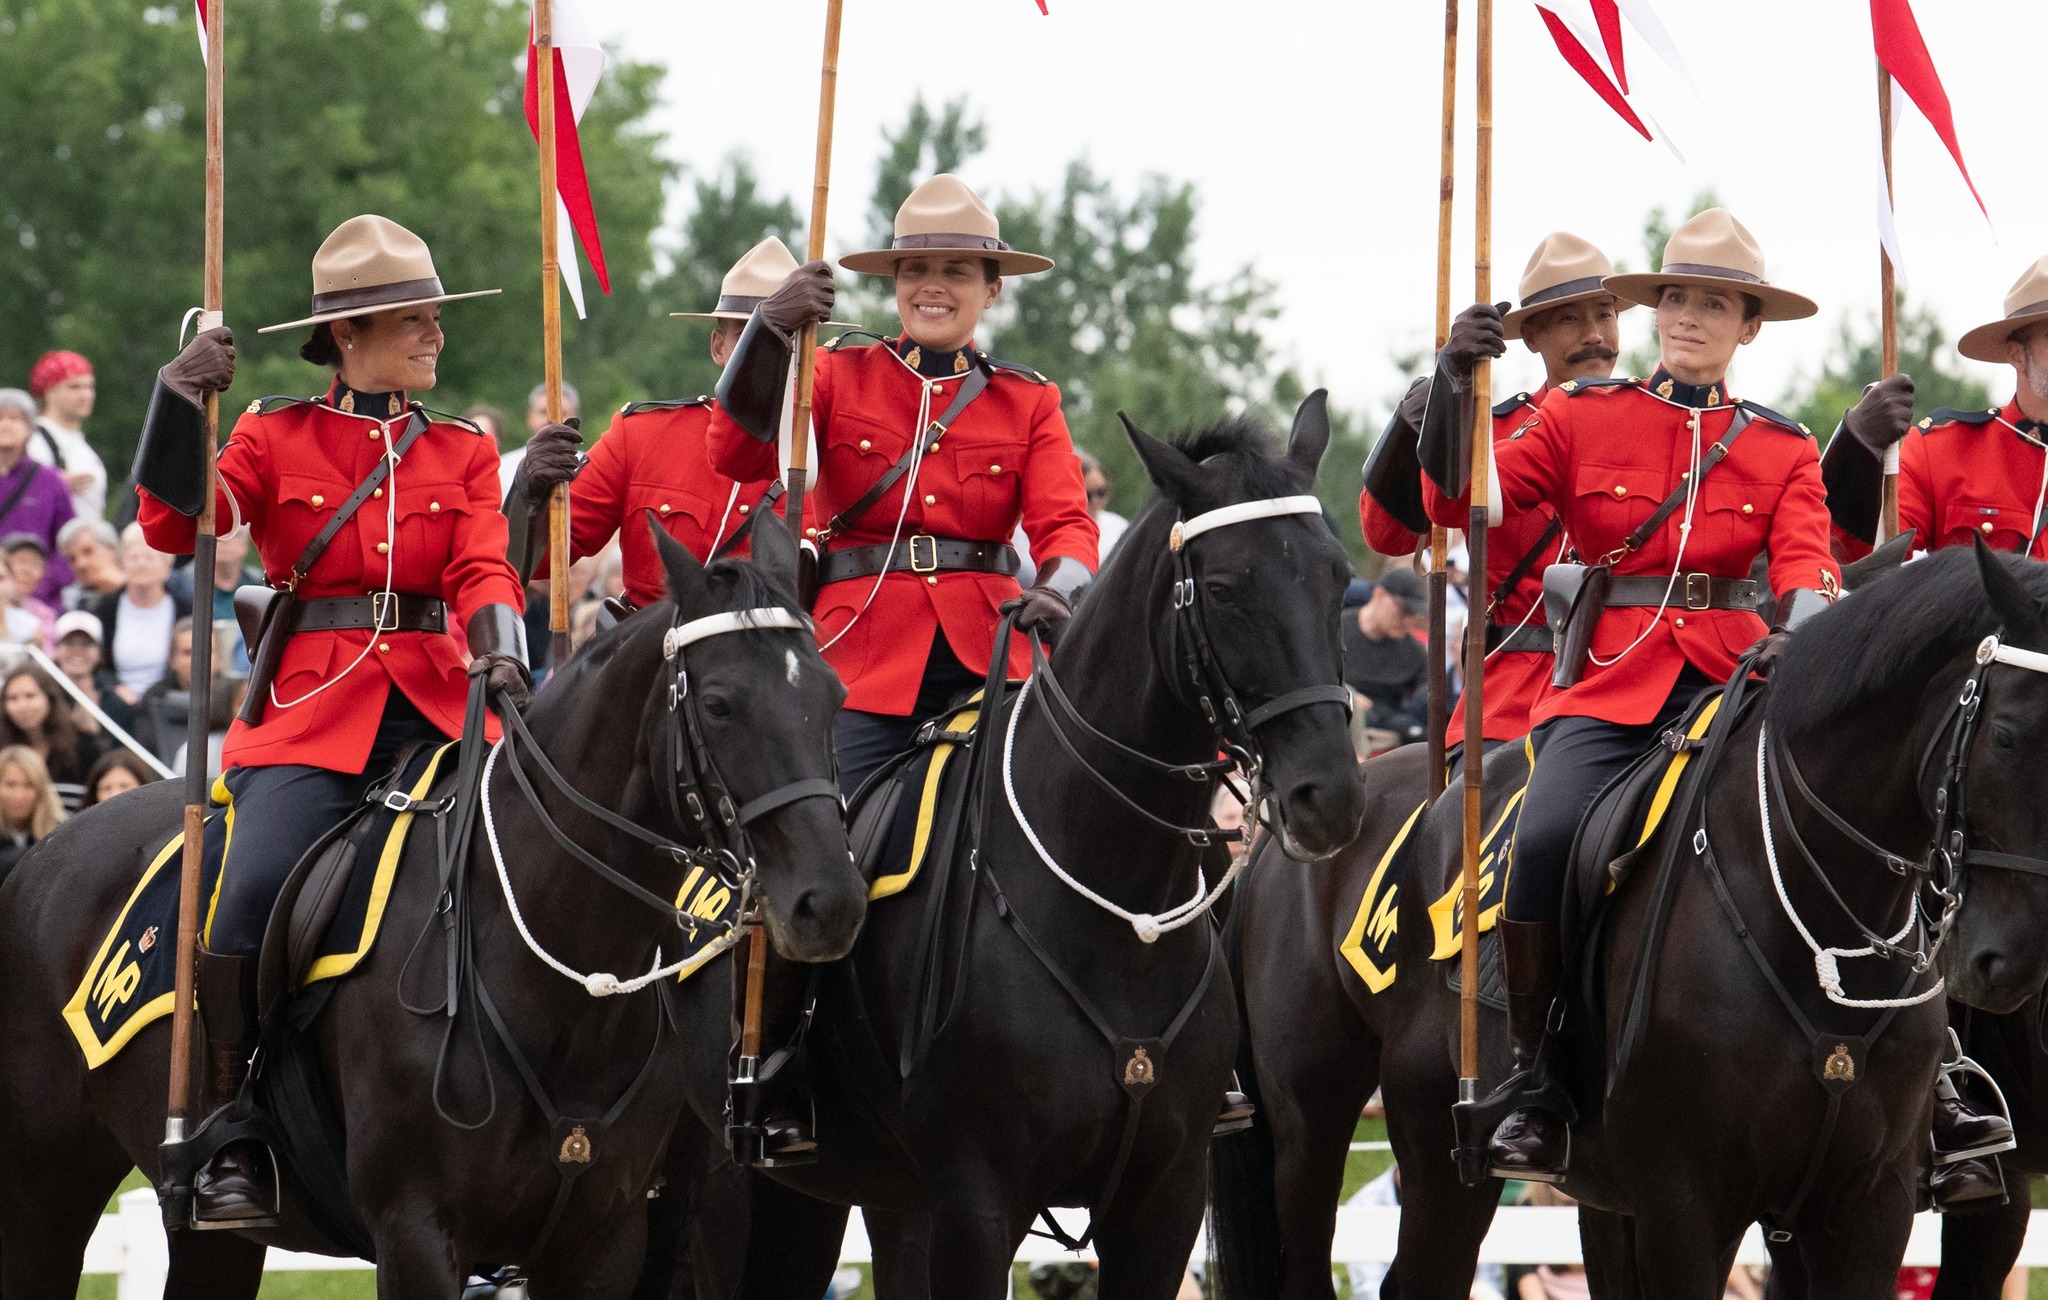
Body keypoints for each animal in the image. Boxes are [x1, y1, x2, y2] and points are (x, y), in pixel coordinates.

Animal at [0, 517, 856, 1300]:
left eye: (833, 695)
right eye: (719, 703)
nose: (831, 901)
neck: (555, 975)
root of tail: (39, 855)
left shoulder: (604, 1240)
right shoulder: (417, 1234)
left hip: (211, 1235)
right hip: (44, 1191)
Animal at [659, 395, 1359, 1300]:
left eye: (1337, 576)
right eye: (1227, 589)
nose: (1329, 796)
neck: (1108, 895)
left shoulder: (1162, 1201)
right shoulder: (979, 1203)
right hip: (734, 1190)